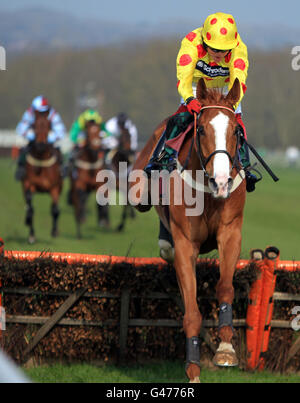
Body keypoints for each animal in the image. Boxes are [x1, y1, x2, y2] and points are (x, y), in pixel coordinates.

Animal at [22, 111, 63, 243]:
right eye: (33, 125)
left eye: (49, 126)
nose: (40, 145)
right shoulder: (29, 184)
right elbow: (30, 208)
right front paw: (31, 235)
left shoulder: (55, 187)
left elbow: (55, 210)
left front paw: (54, 231)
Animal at [131, 78, 246, 382]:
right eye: (202, 128)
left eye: (235, 131)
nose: (221, 180)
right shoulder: (185, 244)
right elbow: (192, 312)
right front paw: (193, 369)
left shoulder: (230, 232)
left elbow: (225, 287)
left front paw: (226, 350)